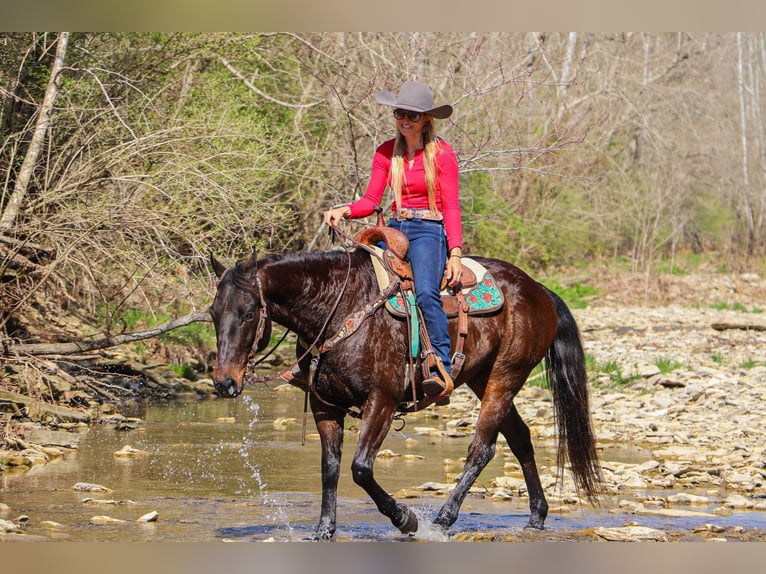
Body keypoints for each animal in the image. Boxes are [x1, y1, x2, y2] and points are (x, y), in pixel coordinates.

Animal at [208, 245, 600, 544]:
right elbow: (330, 469)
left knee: (482, 449)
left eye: (248, 313)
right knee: (519, 437)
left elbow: (360, 469)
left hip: (505, 377)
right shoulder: (325, 407)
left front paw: (406, 519)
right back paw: (537, 515)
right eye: (213, 313)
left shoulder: (381, 401)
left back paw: (443, 519)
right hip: (481, 377)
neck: (338, 309)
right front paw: (324, 530)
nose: (224, 382)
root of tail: (538, 289)